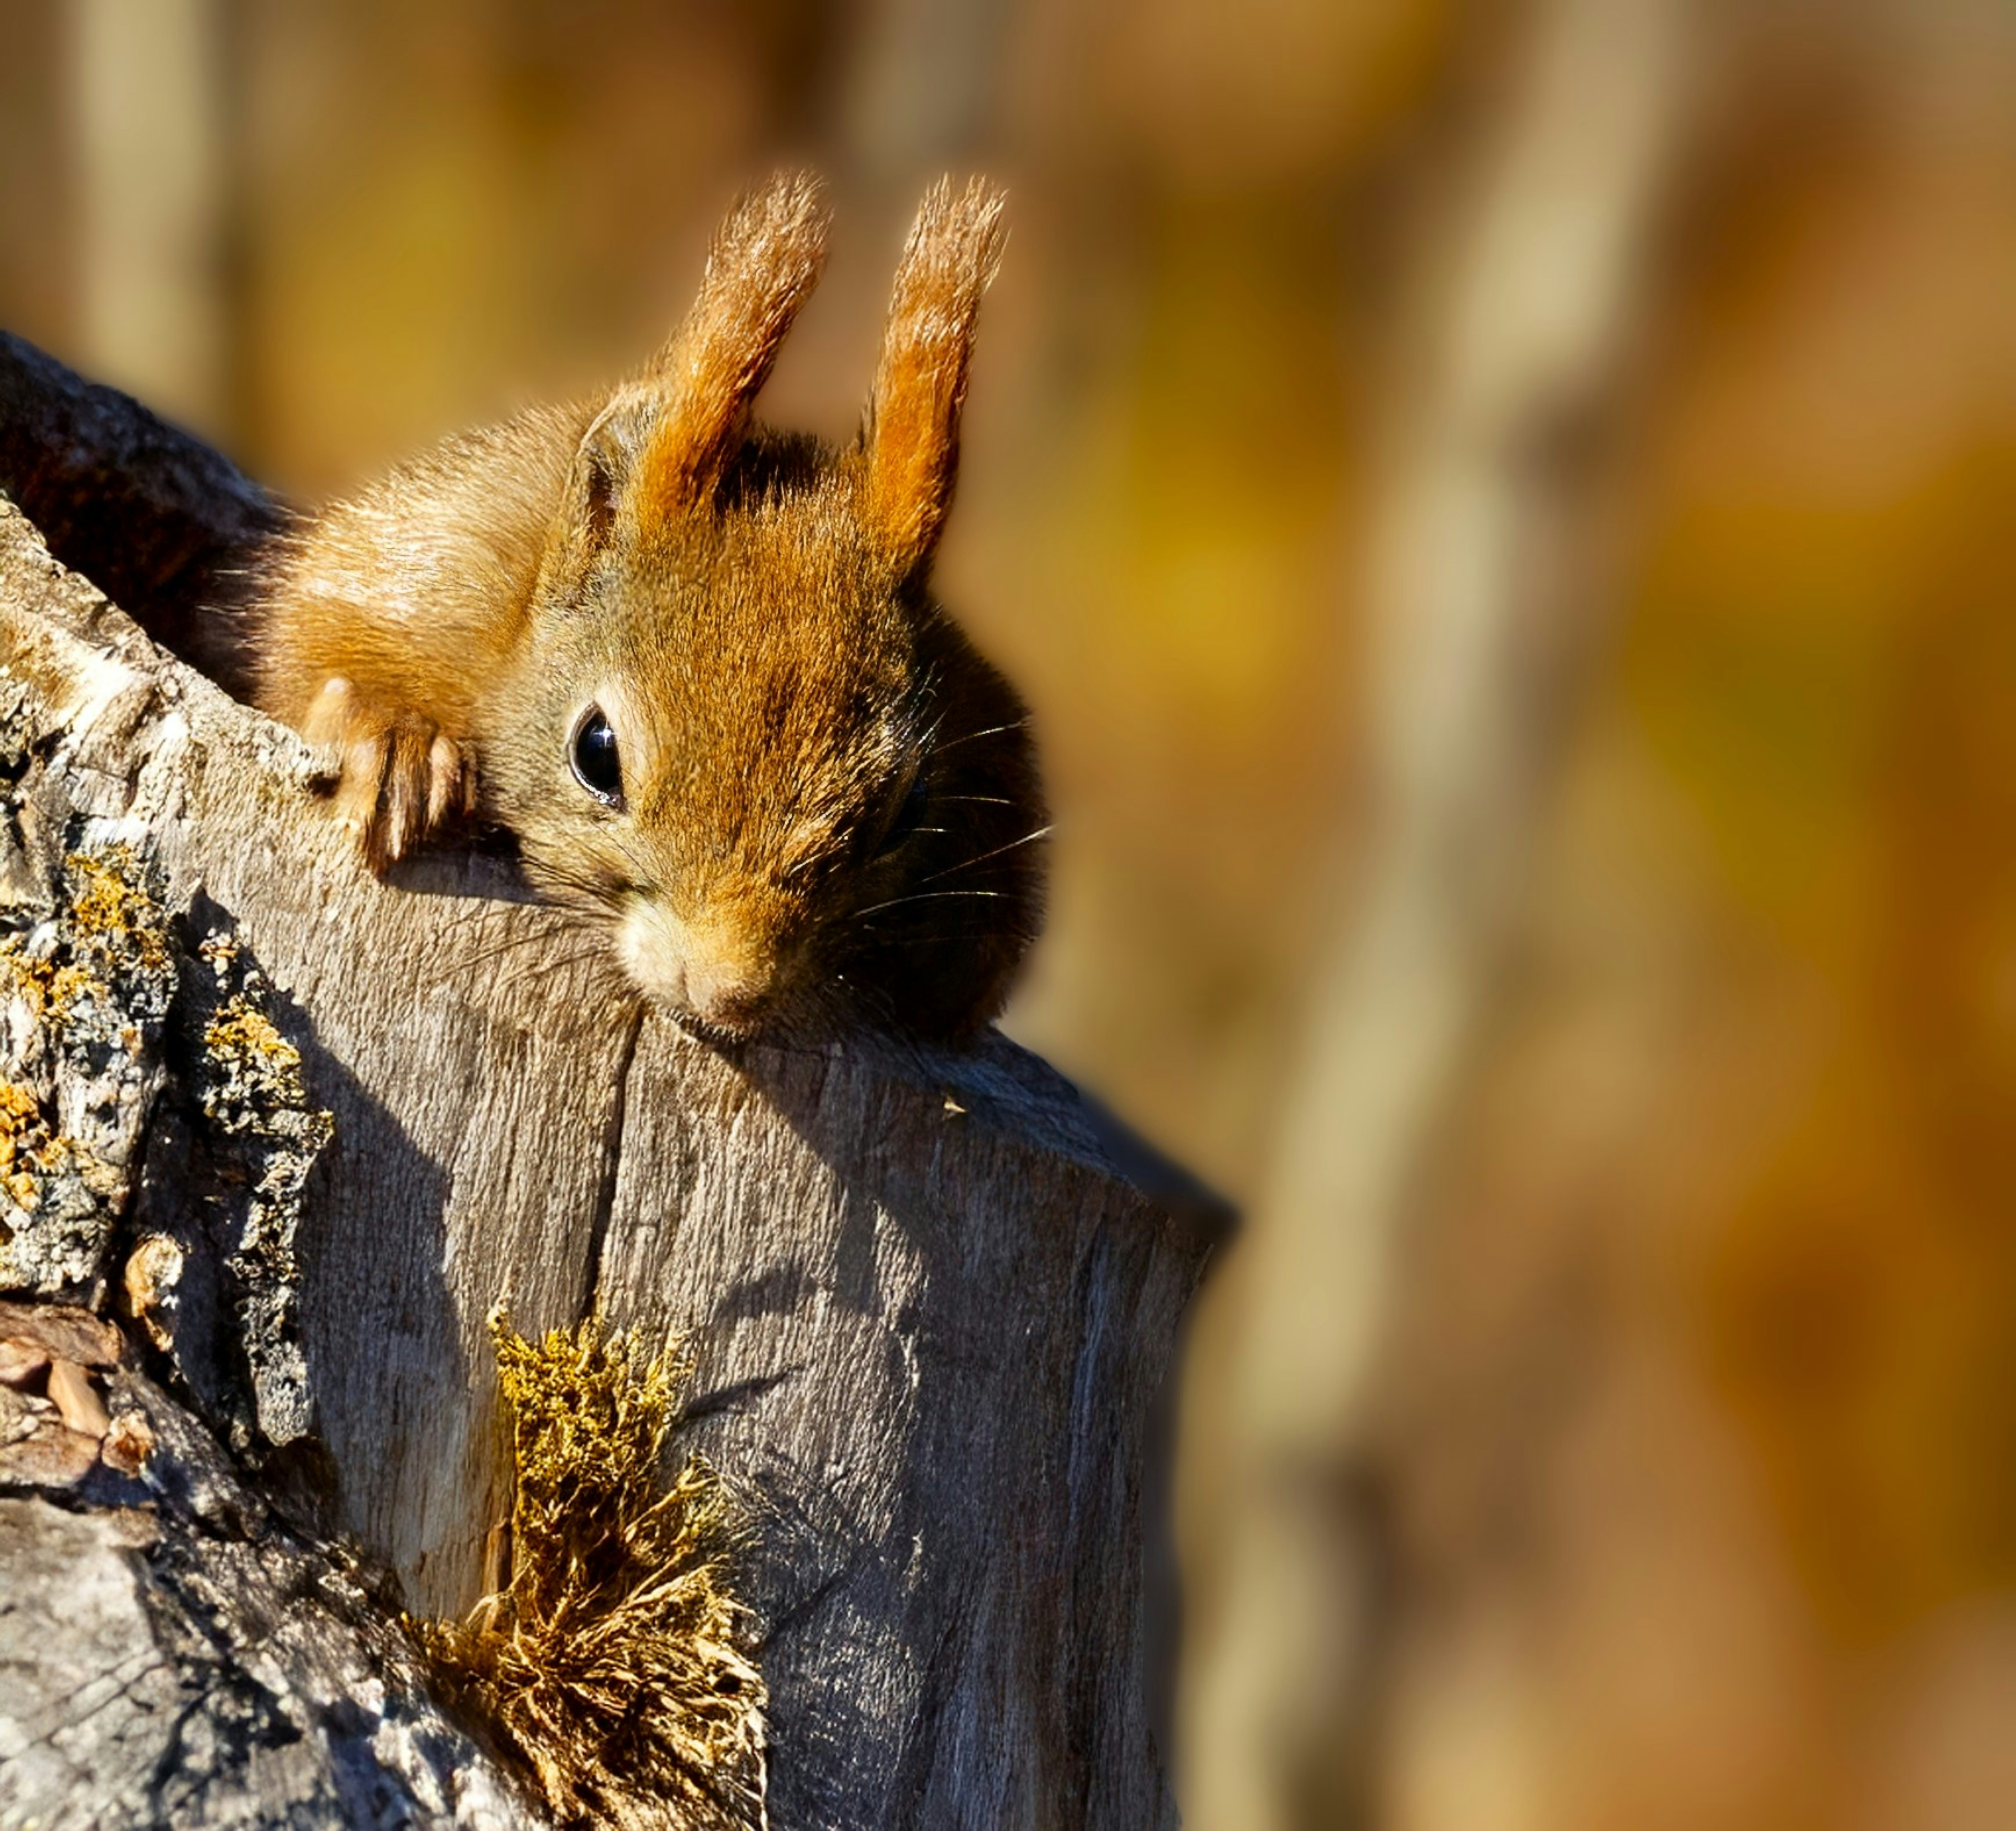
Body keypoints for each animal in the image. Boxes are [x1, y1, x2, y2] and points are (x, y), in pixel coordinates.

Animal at [250, 173, 1046, 1046]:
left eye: (911, 808)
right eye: (596, 752)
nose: (726, 992)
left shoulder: (975, 696)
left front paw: (959, 948)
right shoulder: (442, 568)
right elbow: (316, 632)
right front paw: (392, 742)